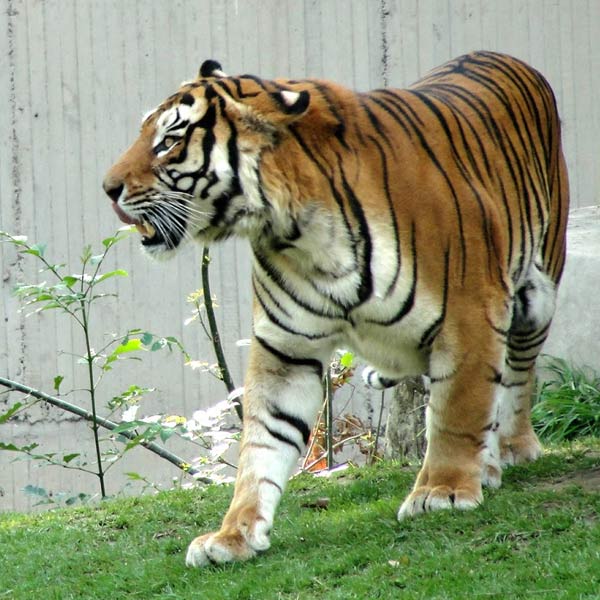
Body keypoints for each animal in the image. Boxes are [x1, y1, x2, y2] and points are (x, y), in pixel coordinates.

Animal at [102, 50, 568, 568]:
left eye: (169, 141)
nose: (107, 188)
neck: (298, 232)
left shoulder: (469, 317)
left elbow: (456, 411)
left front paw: (442, 492)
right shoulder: (284, 349)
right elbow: (263, 442)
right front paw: (233, 534)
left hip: (537, 291)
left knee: (517, 376)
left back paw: (509, 449)